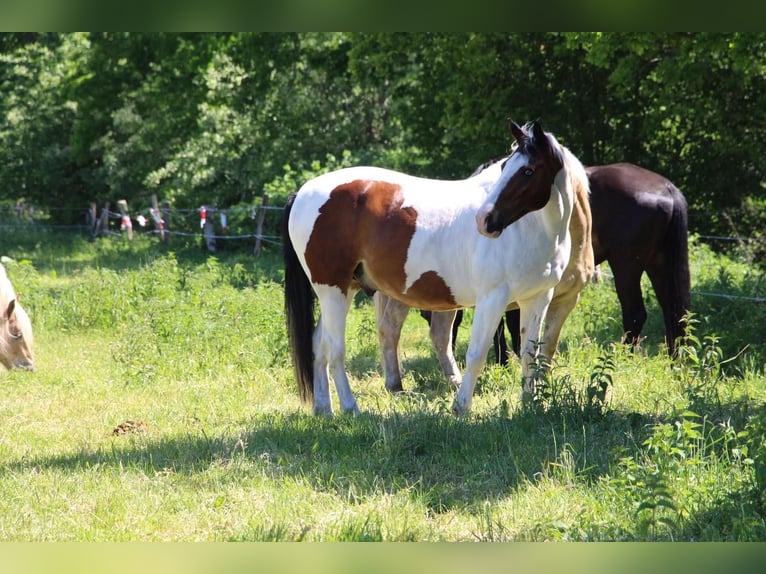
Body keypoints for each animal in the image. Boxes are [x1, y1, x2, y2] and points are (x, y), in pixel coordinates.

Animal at [284, 122, 592, 418]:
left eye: (528, 170)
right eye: (505, 167)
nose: (485, 220)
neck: (532, 228)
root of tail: (303, 192)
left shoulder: (537, 298)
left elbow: (530, 355)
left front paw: (530, 405)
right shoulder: (492, 298)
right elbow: (477, 354)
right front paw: (461, 407)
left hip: (344, 289)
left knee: (319, 347)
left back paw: (324, 409)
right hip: (331, 289)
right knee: (335, 349)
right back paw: (350, 408)